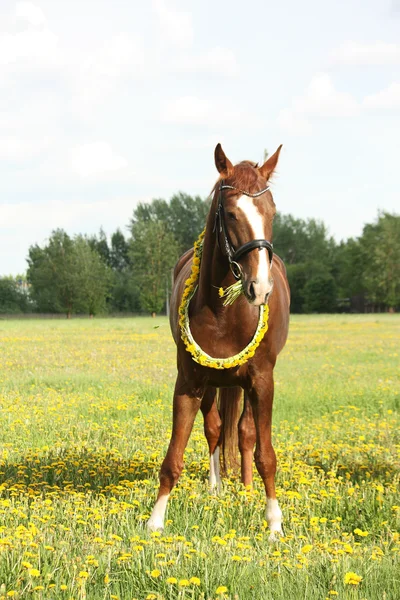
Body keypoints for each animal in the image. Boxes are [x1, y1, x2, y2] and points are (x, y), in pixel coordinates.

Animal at [148, 144, 290, 540]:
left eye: (271, 210)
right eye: (229, 212)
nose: (260, 288)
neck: (225, 312)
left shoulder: (262, 381)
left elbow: (265, 453)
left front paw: (274, 524)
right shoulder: (189, 382)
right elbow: (174, 455)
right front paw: (155, 521)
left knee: (244, 434)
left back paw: (245, 488)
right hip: (214, 383)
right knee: (214, 429)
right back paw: (217, 486)